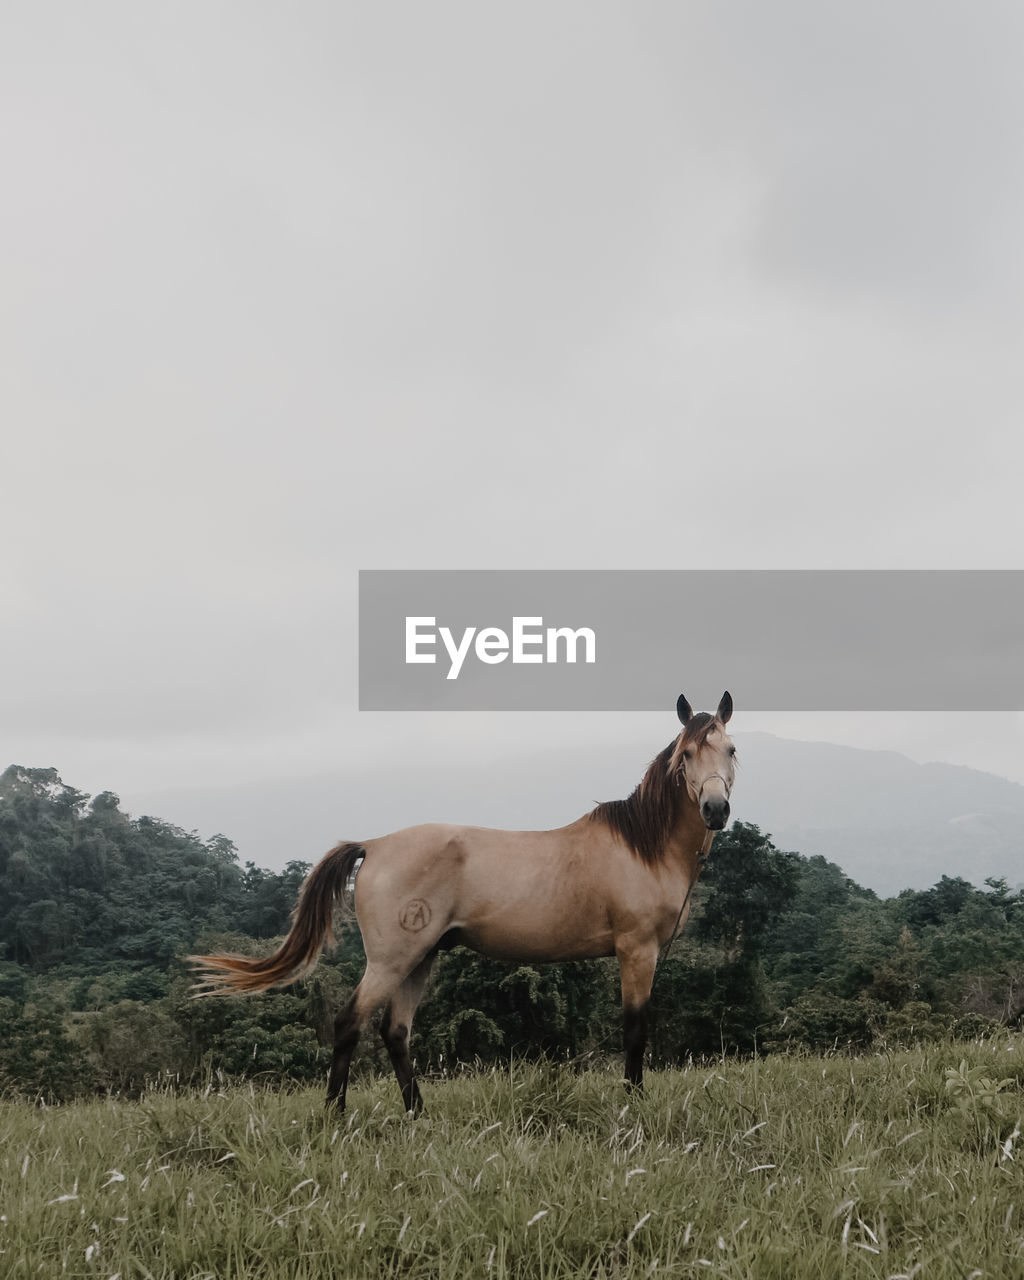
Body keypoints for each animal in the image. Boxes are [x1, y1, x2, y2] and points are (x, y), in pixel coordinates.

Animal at [189, 691, 737, 1111]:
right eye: (687, 754)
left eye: (731, 749)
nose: (715, 809)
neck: (643, 846)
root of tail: (375, 844)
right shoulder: (636, 951)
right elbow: (635, 1030)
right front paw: (633, 1103)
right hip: (392, 960)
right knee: (349, 1024)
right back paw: (335, 1115)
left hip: (420, 959)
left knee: (395, 1032)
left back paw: (418, 1113)